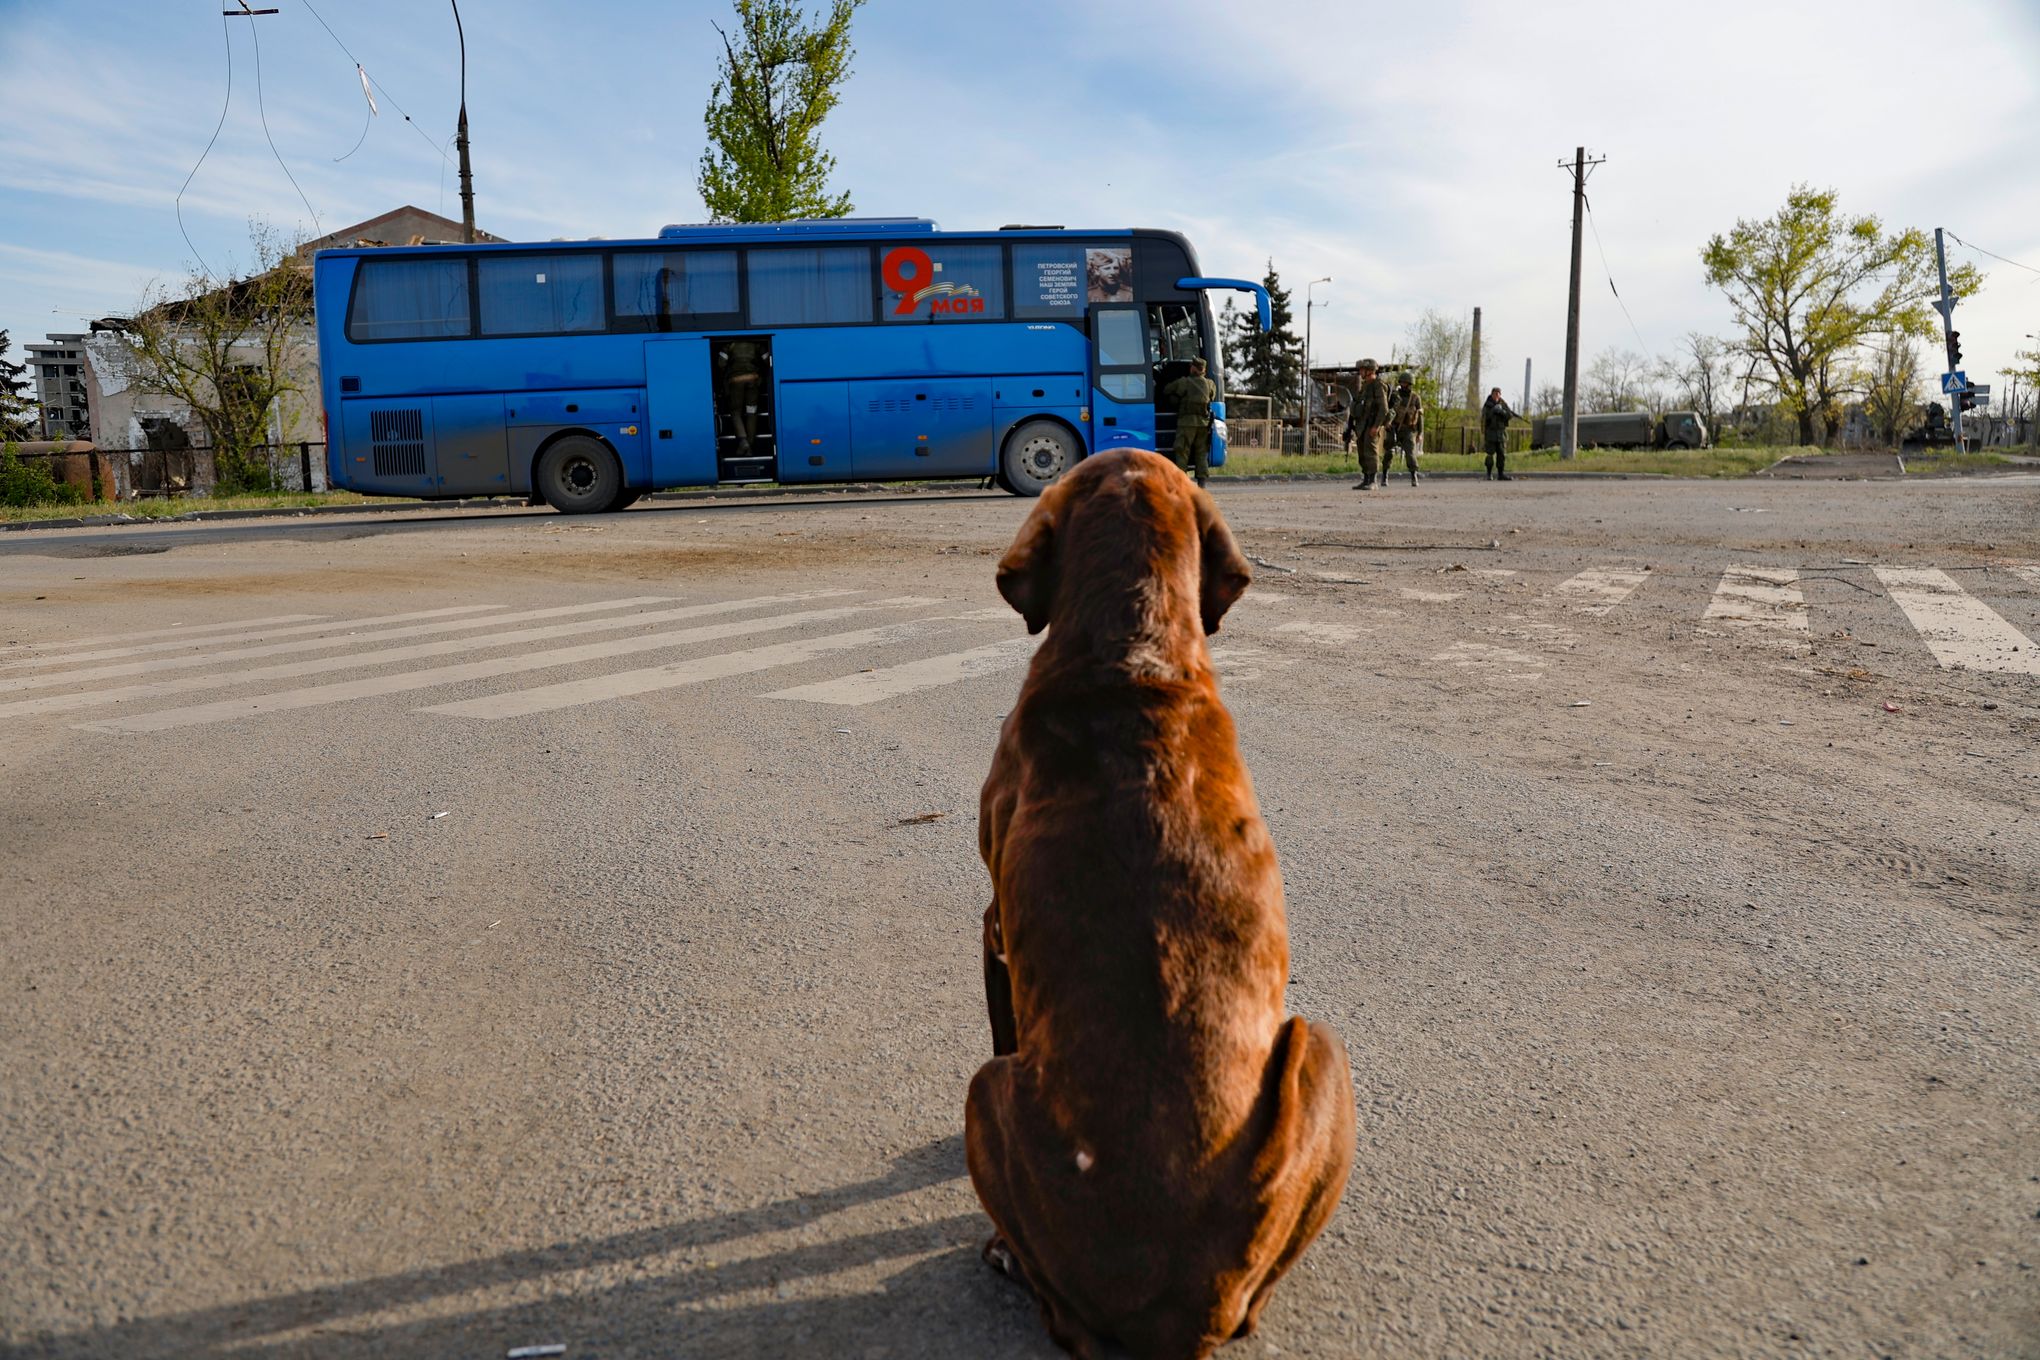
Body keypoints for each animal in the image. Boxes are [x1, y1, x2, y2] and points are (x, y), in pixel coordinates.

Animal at [966, 454, 1354, 1360]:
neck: (1132, 655)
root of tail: (1177, 1317)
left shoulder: (993, 931)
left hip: (986, 1092)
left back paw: (1004, 1254)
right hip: (1322, 1052)